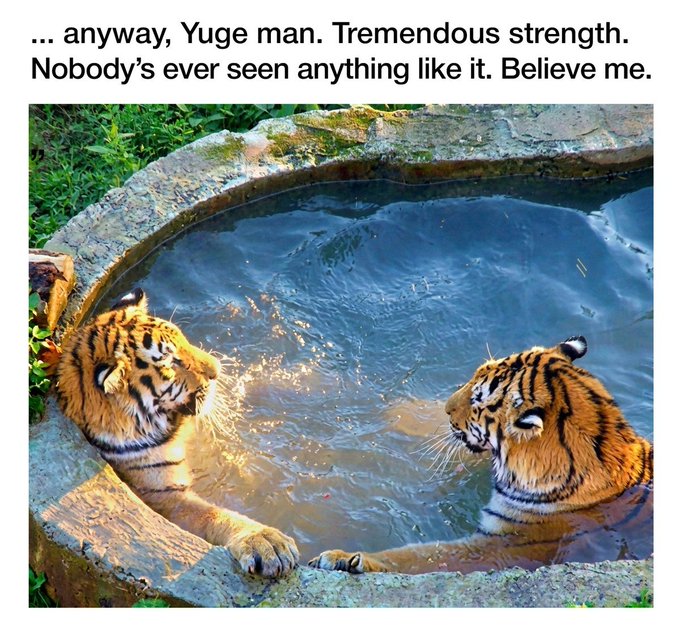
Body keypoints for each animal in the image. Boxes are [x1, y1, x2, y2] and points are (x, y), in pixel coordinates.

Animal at [54, 288, 299, 578]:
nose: (217, 370)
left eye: (183, 338)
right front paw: (265, 541)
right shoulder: (166, 497)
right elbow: (214, 515)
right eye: (172, 363)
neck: (171, 423)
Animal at [309, 336, 653, 575]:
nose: (446, 408)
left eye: (477, 400)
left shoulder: (502, 547)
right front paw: (402, 412)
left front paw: (342, 559)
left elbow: (419, 556)